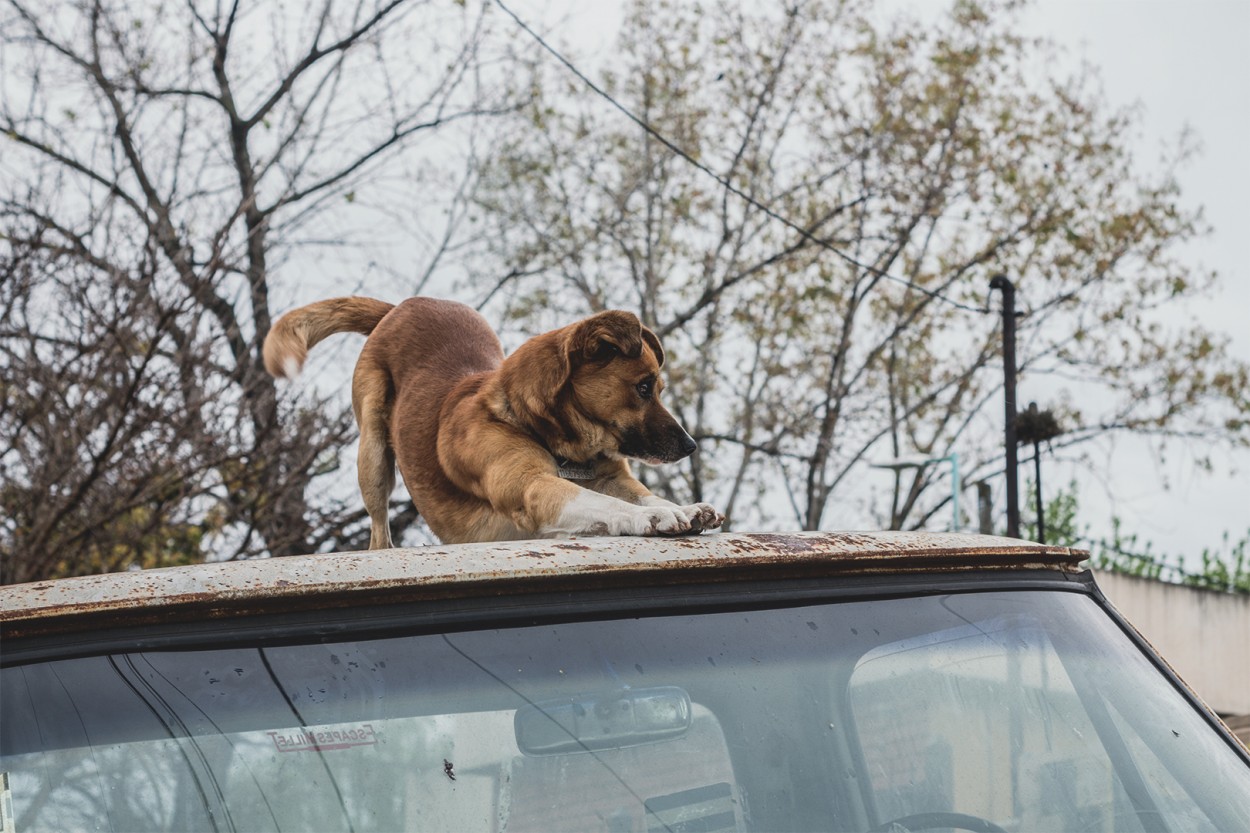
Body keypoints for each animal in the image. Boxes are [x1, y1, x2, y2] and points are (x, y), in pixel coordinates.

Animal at [268, 296, 730, 545]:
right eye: (644, 388)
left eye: (657, 388)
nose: (690, 446)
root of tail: (402, 305)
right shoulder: (530, 486)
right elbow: (608, 504)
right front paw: (651, 519)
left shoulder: (612, 477)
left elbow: (642, 495)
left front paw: (683, 507)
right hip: (374, 454)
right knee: (378, 533)